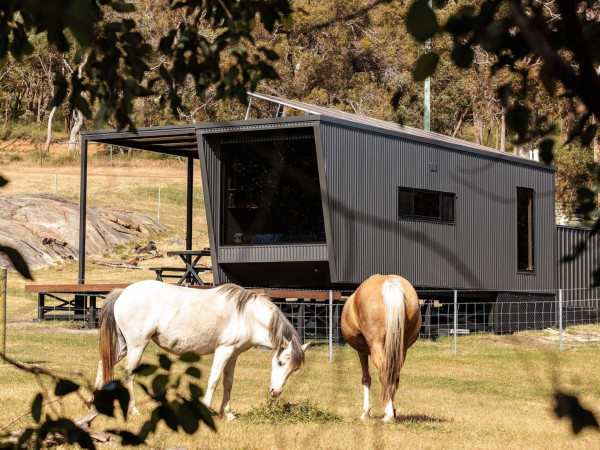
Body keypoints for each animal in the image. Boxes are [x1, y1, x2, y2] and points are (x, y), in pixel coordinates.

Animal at [80, 280, 310, 424]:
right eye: (280, 362)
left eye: (294, 370)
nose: (275, 392)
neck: (247, 315)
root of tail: (123, 293)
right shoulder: (223, 351)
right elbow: (214, 380)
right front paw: (206, 408)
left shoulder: (234, 355)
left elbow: (228, 383)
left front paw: (227, 413)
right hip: (137, 345)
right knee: (128, 373)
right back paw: (133, 410)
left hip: (123, 345)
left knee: (103, 364)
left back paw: (93, 401)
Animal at [342, 274, 422, 422]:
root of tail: (390, 283)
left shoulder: (361, 351)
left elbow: (366, 379)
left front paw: (366, 413)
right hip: (401, 349)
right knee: (394, 375)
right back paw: (390, 412)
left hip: (377, 346)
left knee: (384, 374)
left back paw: (388, 414)